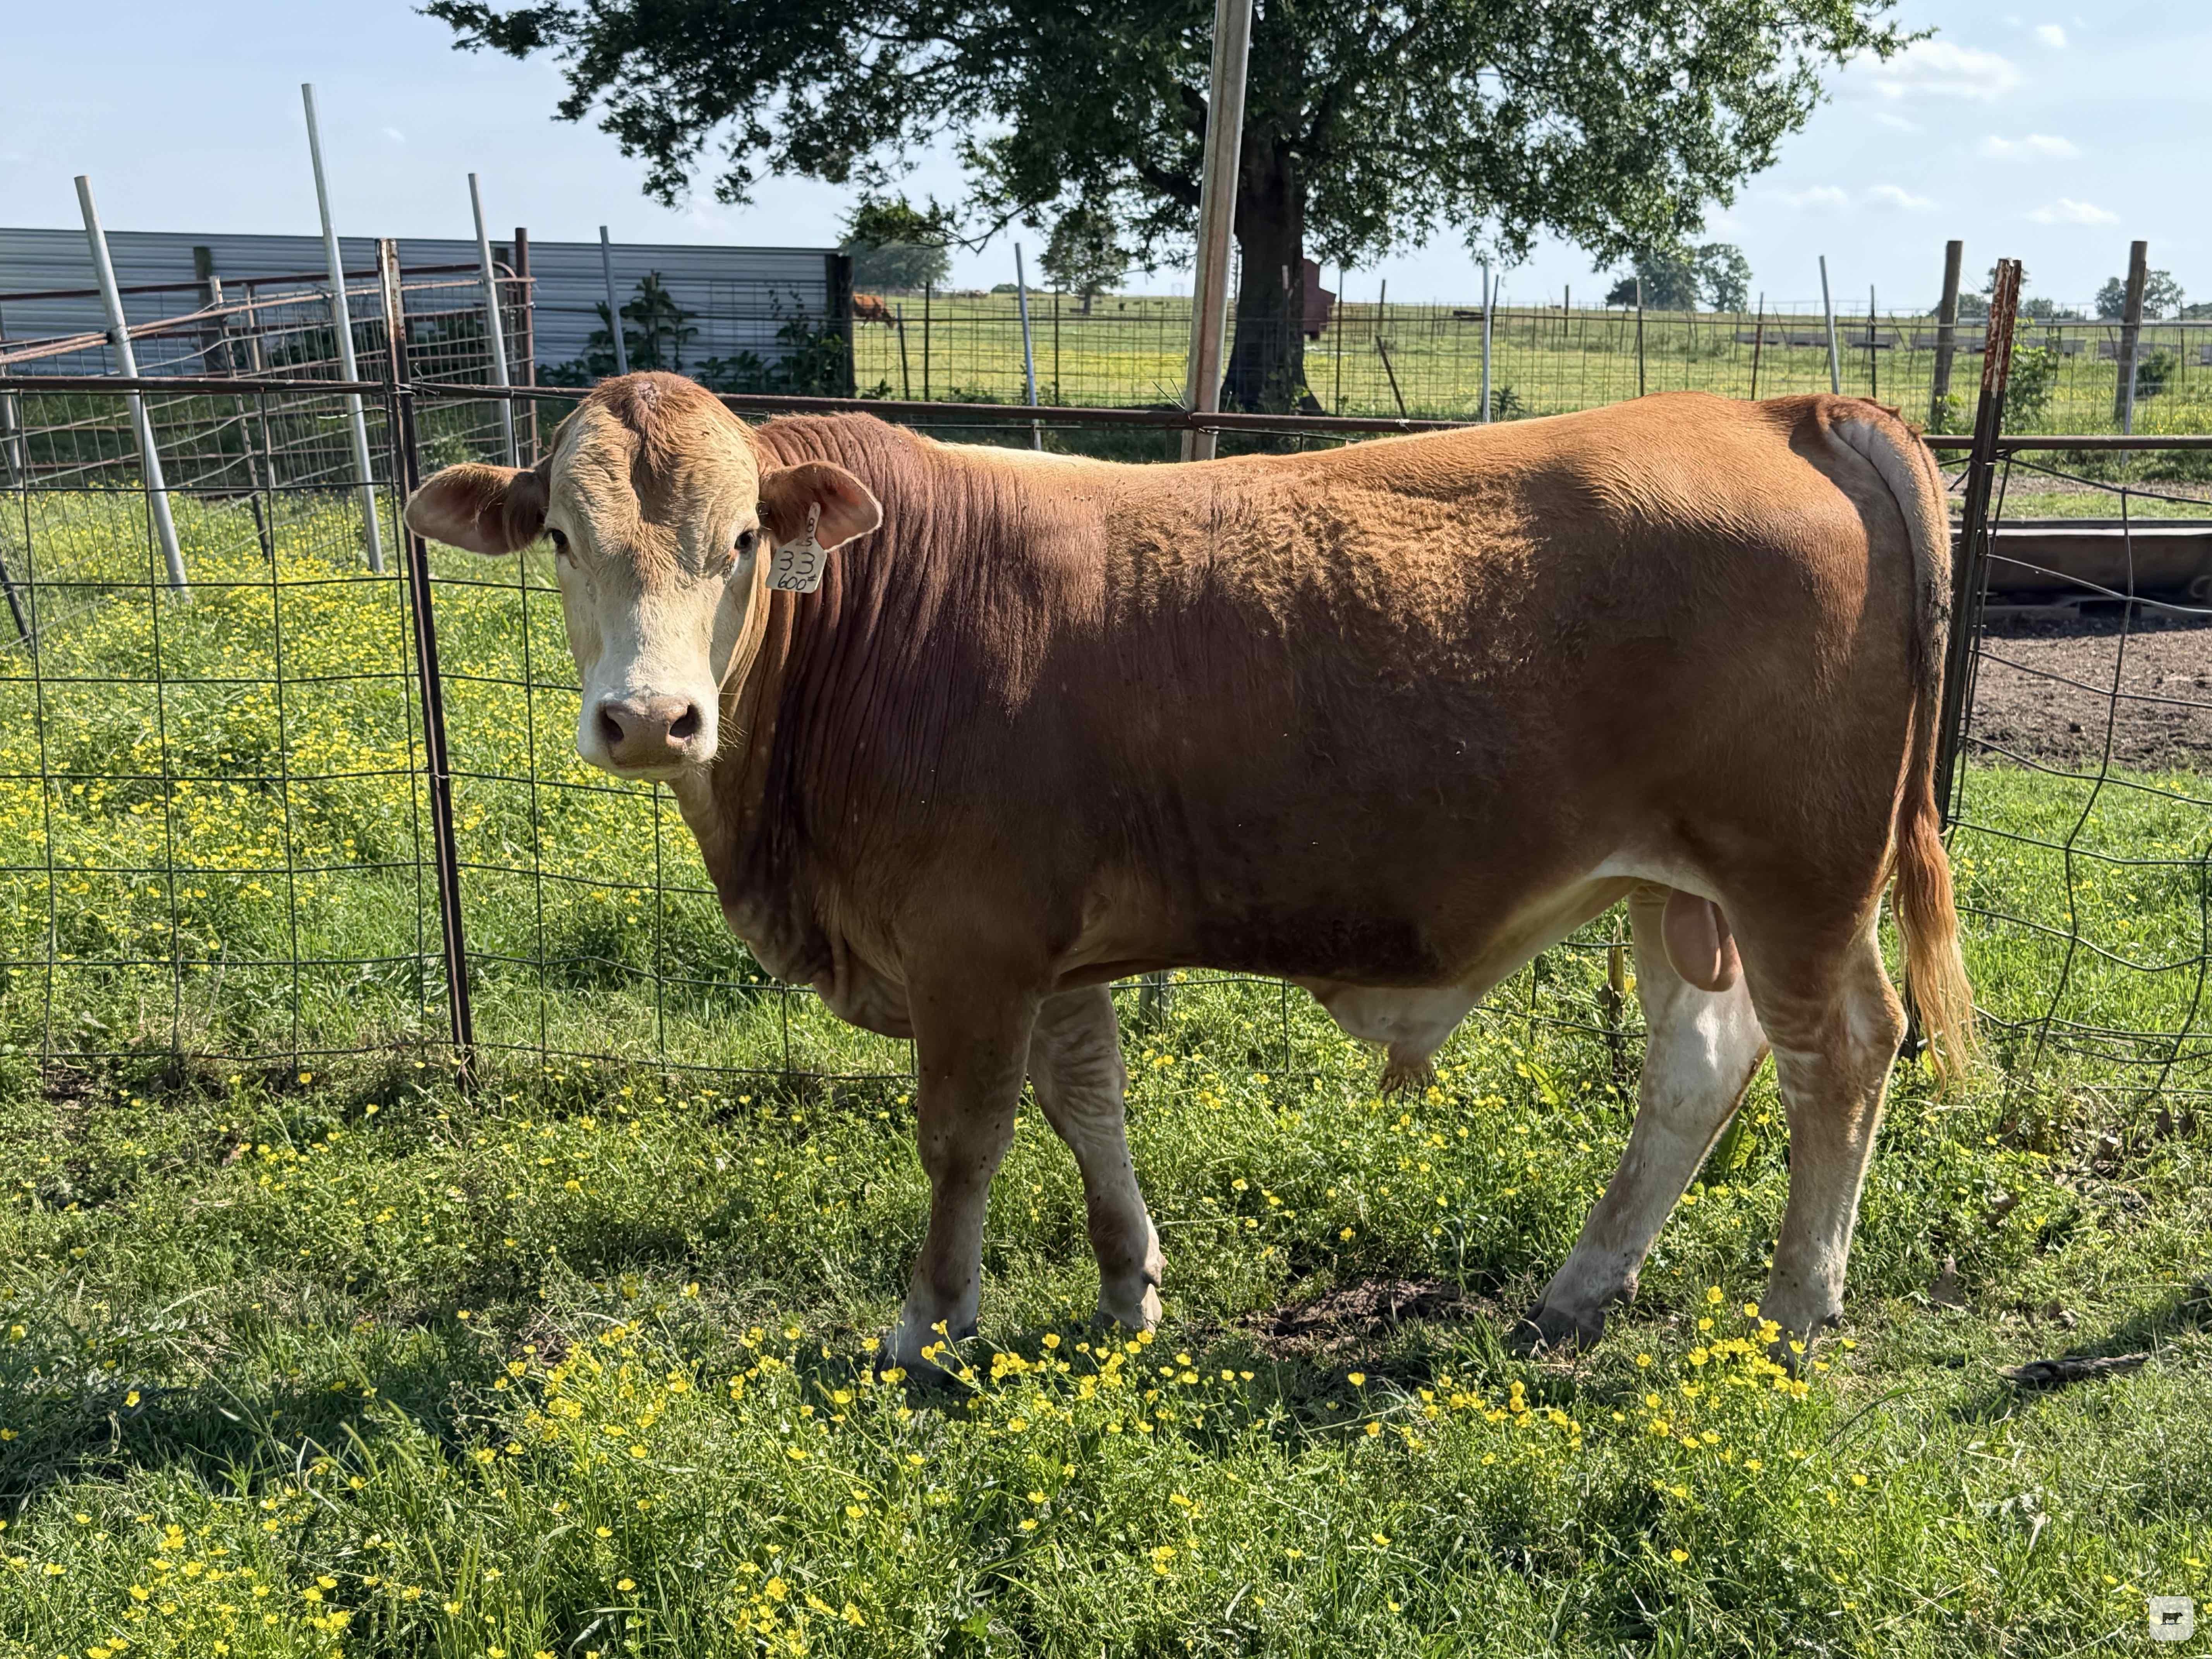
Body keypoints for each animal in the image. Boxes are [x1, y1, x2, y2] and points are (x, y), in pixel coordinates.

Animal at [404, 372, 1975, 1373]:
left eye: (739, 542)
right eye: (561, 537)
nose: (651, 719)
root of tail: (1778, 411)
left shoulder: (969, 942)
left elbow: (962, 1137)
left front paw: (930, 1323)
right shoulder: (1047, 946)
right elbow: (1084, 1102)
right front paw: (1127, 1287)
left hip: (1795, 880)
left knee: (1840, 1054)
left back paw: (1796, 1305)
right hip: (1680, 890)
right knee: (1697, 1065)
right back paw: (1578, 1290)